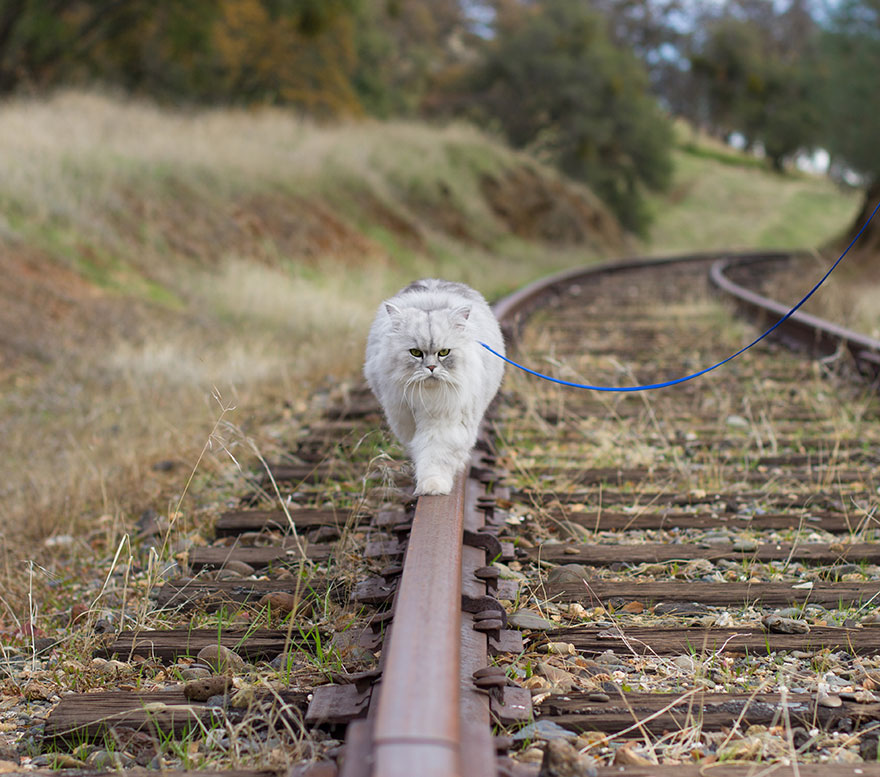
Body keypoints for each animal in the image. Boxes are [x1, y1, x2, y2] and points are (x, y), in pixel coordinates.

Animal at [362, 282, 502, 494]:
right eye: (415, 353)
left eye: (444, 352)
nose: (431, 368)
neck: (428, 397)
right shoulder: (404, 417)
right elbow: (421, 450)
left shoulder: (444, 422)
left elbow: (435, 457)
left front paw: (433, 487)